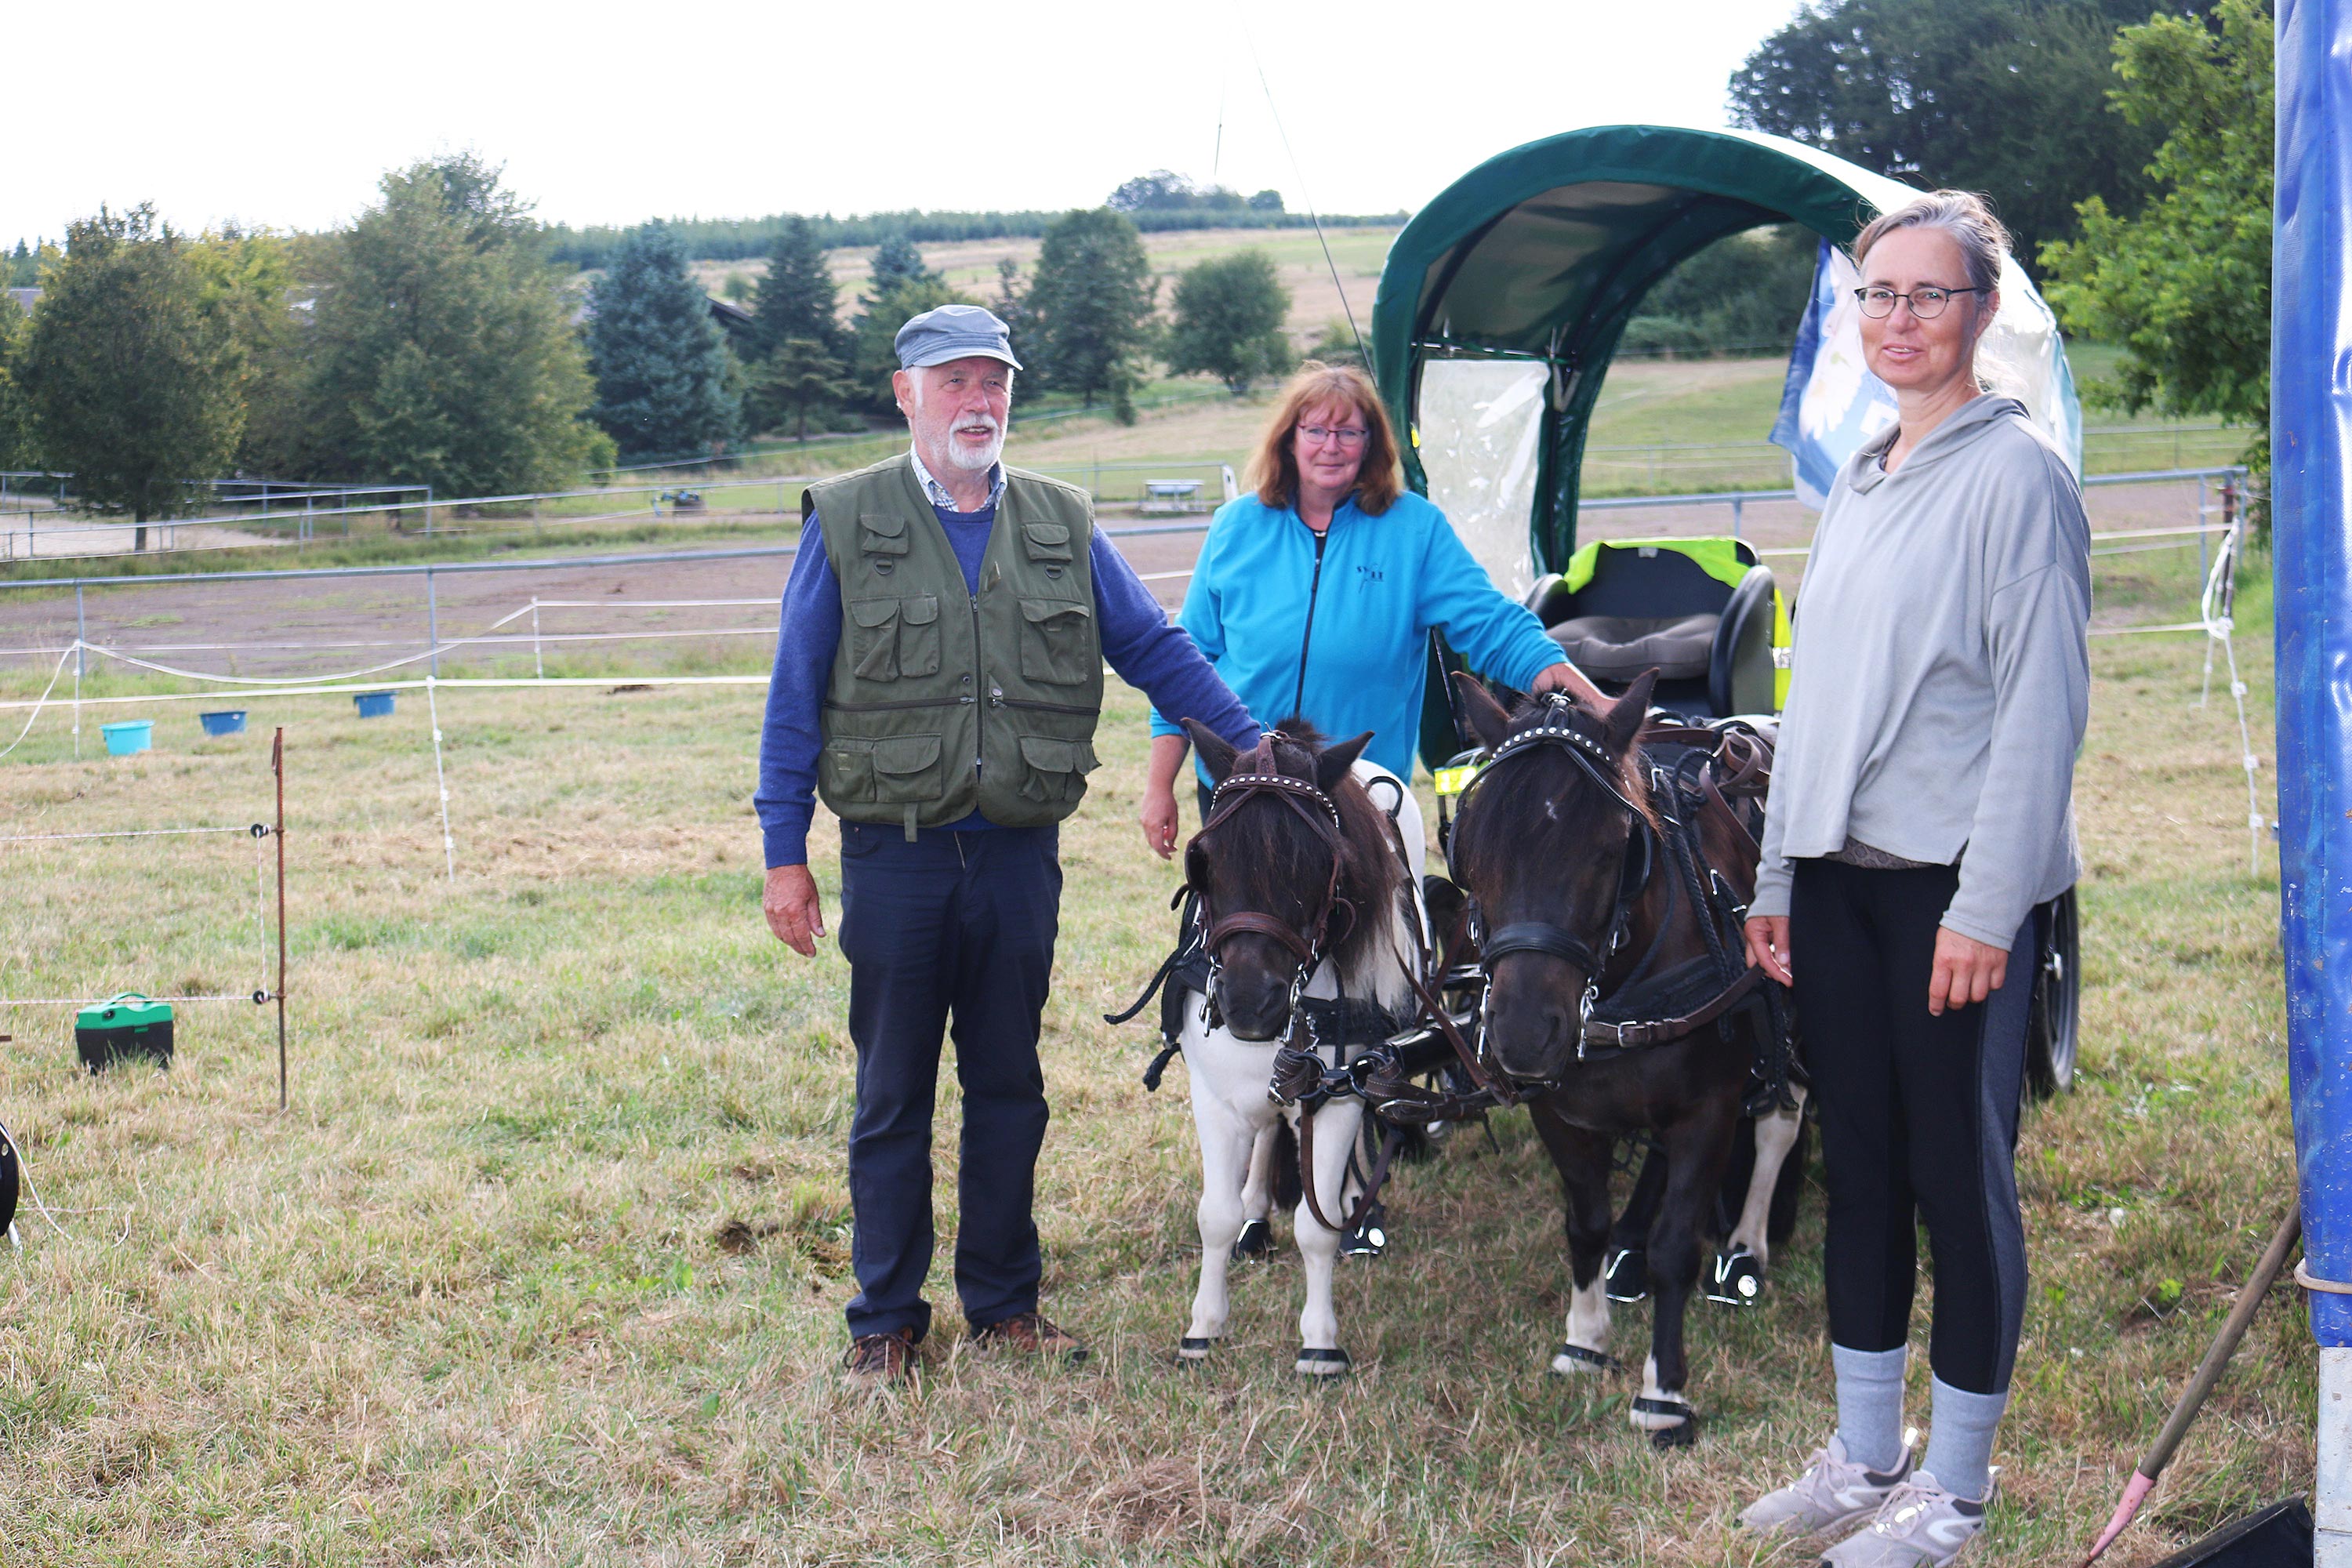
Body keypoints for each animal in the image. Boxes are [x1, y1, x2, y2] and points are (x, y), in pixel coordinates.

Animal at [1449, 677, 1769, 1448]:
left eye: (1613, 848)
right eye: (1470, 849)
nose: (1524, 1036)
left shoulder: (1710, 1110)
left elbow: (1678, 1244)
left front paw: (1664, 1390)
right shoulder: (1559, 1112)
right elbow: (1584, 1222)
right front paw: (1586, 1339)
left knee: (1781, 1126)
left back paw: (1745, 1247)